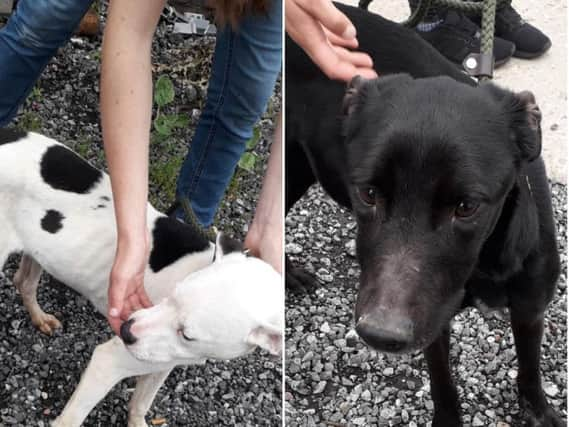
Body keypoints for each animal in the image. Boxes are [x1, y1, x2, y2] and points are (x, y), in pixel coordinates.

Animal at [0, 130, 282, 427]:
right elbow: (71, 419)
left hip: (38, 252)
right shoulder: (107, 362)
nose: (125, 330)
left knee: (24, 281)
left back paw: (39, 317)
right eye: (170, 296)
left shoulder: (161, 364)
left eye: (187, 335)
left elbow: (141, 403)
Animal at [286, 4, 560, 427]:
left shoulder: (530, 307)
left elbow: (530, 366)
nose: (380, 334)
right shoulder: (433, 319)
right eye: (368, 193)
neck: (484, 264)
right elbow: (441, 380)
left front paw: (538, 410)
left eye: (467, 206)